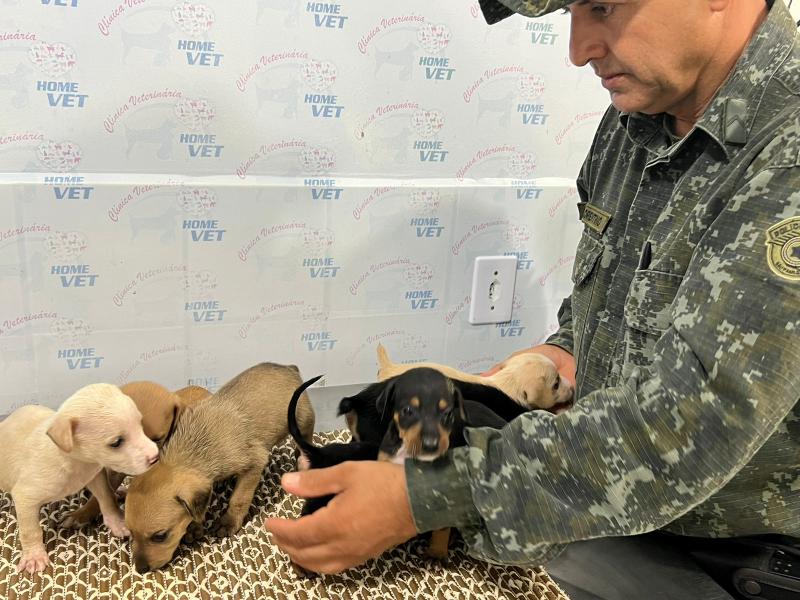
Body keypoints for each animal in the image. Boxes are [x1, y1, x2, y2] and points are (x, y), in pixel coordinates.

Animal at [0, 382, 159, 576]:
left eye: (140, 425)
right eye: (116, 442)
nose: (155, 457)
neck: (74, 461)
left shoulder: (95, 474)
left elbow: (106, 496)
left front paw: (117, 522)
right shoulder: (25, 497)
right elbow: (30, 530)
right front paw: (34, 556)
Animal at [123, 360, 314, 572]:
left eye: (160, 536)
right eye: (129, 532)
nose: (140, 569)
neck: (195, 449)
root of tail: (288, 367)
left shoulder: (254, 463)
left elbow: (238, 499)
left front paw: (228, 523)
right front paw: (194, 526)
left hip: (303, 419)